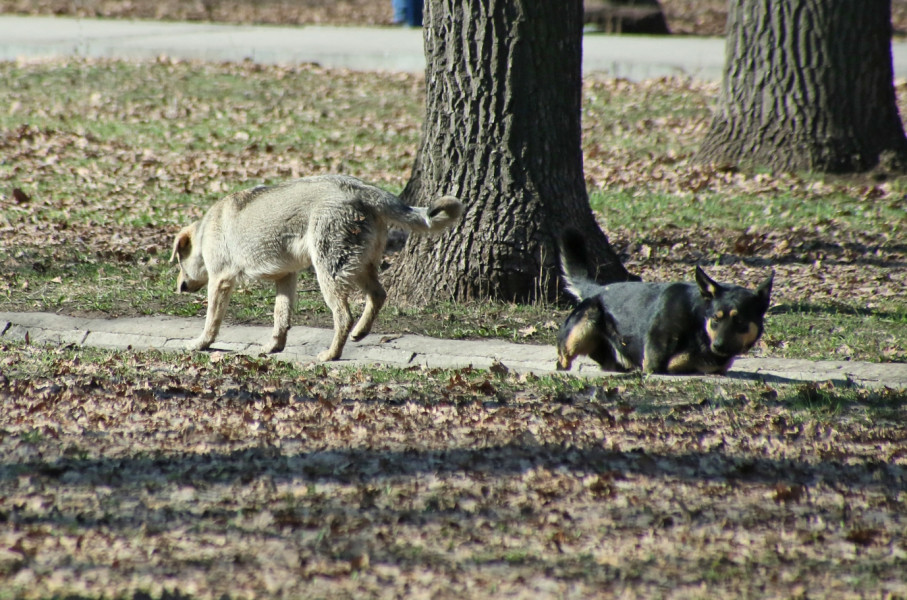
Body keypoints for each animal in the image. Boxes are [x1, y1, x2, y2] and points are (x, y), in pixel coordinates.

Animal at [170, 173, 462, 360]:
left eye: (179, 262)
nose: (179, 288)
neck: (206, 231)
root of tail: (362, 188)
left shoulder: (220, 282)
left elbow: (211, 321)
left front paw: (200, 344)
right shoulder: (286, 278)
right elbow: (280, 319)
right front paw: (273, 348)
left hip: (329, 273)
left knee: (344, 316)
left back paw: (332, 355)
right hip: (360, 266)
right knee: (378, 296)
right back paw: (360, 332)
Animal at [556, 227, 776, 372]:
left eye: (739, 320)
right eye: (716, 318)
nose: (719, 346)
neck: (698, 320)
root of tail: (598, 288)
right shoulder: (654, 364)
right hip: (581, 329)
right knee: (563, 360)